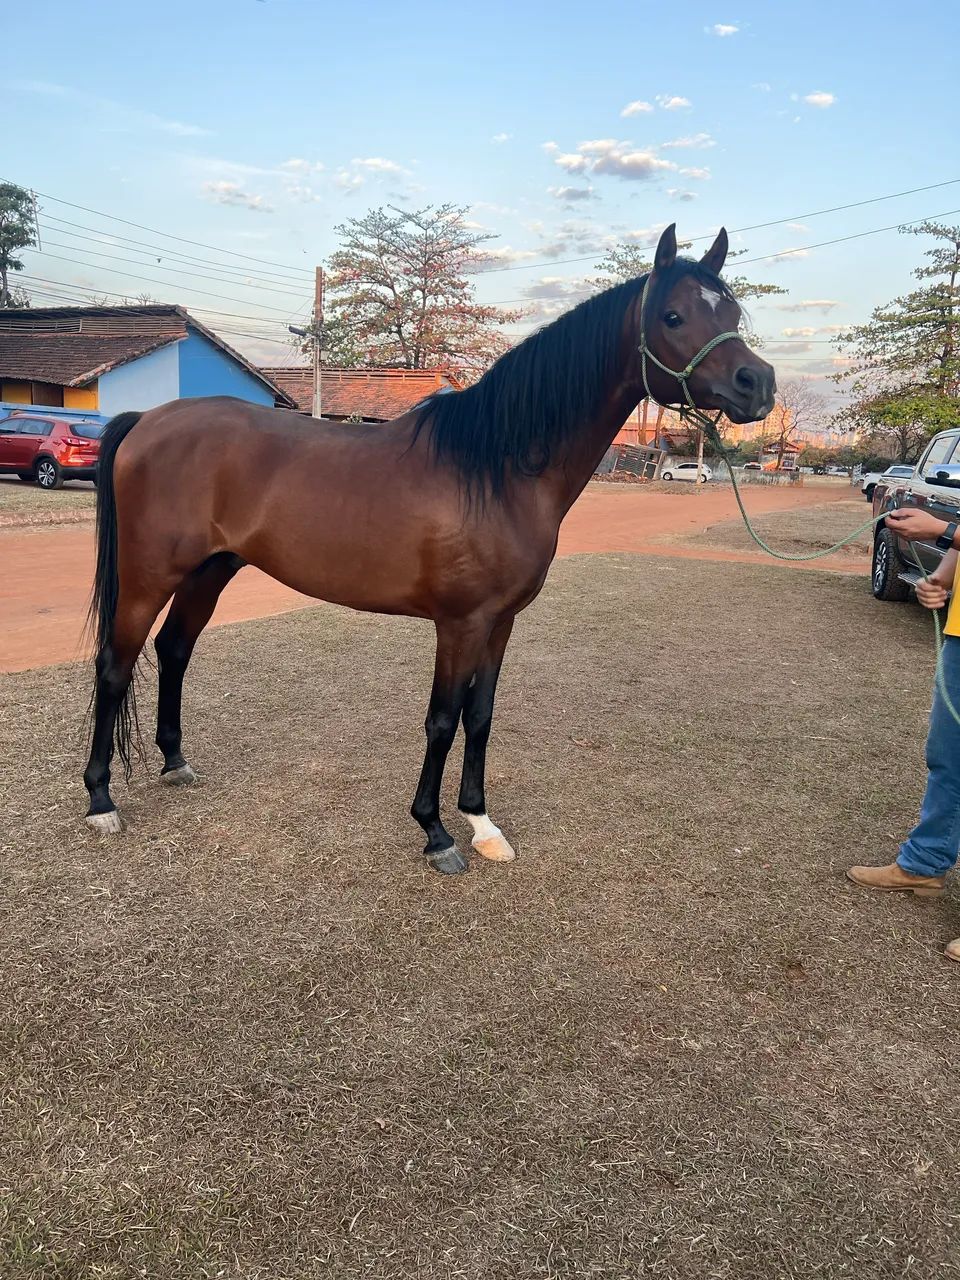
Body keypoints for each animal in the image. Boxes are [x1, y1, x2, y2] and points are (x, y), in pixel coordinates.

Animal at [82, 224, 775, 874]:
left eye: (732, 312)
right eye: (673, 316)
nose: (758, 383)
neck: (498, 469)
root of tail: (146, 420)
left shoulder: (500, 622)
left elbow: (481, 715)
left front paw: (483, 824)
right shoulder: (460, 623)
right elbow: (442, 720)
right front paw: (436, 833)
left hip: (211, 570)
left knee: (174, 650)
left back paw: (176, 763)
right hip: (148, 577)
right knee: (115, 666)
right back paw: (100, 801)